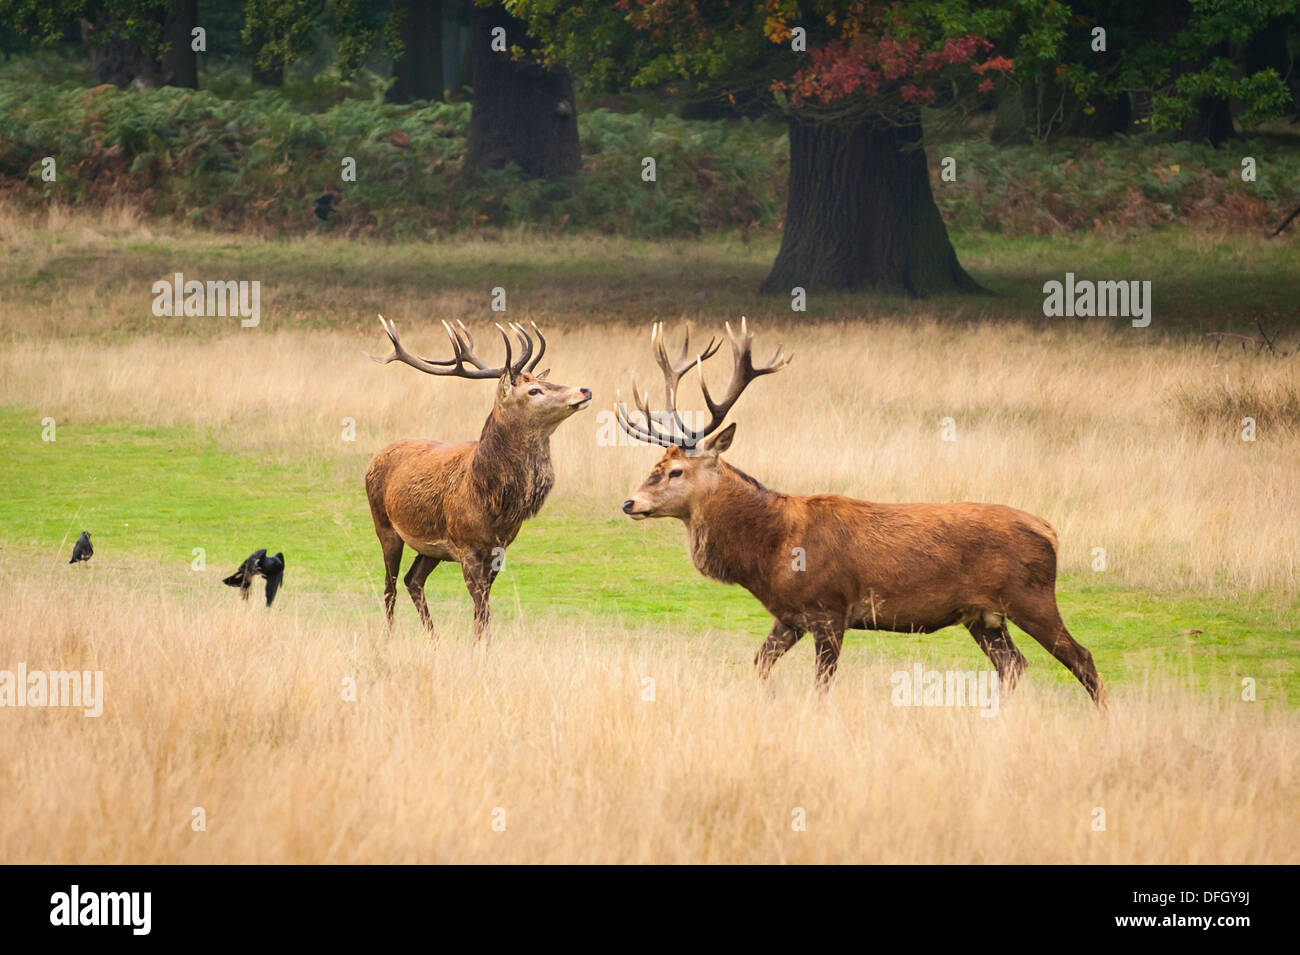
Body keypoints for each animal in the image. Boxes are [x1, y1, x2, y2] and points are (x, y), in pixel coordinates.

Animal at [365, 316, 591, 643]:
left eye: (545, 382)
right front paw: (482, 649)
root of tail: (375, 457)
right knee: (390, 585)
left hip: (430, 548)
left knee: (412, 579)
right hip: (384, 525)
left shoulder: (498, 550)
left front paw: (477, 647)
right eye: (534, 391)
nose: (584, 390)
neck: (493, 501)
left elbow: (480, 610)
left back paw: (434, 640)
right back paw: (389, 637)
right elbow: (483, 609)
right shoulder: (467, 545)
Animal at [615, 318, 1107, 707]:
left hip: (1032, 597)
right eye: (654, 466)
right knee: (1014, 665)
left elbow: (821, 687)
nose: (629, 502)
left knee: (1082, 659)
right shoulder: (789, 616)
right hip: (983, 617)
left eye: (675, 471)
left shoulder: (830, 609)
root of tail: (1051, 530)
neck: (770, 553)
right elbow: (759, 664)